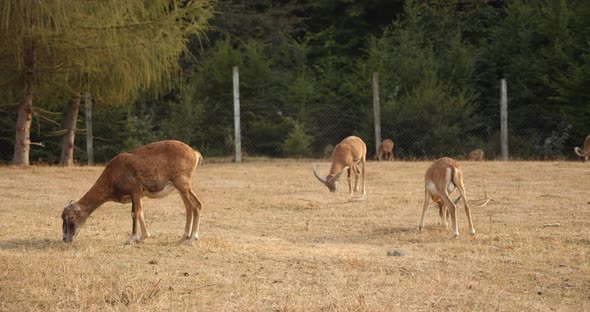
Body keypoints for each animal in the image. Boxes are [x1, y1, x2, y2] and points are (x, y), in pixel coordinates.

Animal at [60, 140, 204, 245]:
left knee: (196, 205)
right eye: (62, 218)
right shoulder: (138, 196)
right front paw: (144, 237)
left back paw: (192, 238)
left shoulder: (134, 192)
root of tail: (194, 153)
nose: (65, 238)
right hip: (182, 189)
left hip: (183, 186)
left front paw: (131, 239)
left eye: (71, 218)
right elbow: (141, 213)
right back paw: (184, 237)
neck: (114, 175)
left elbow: (134, 213)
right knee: (190, 207)